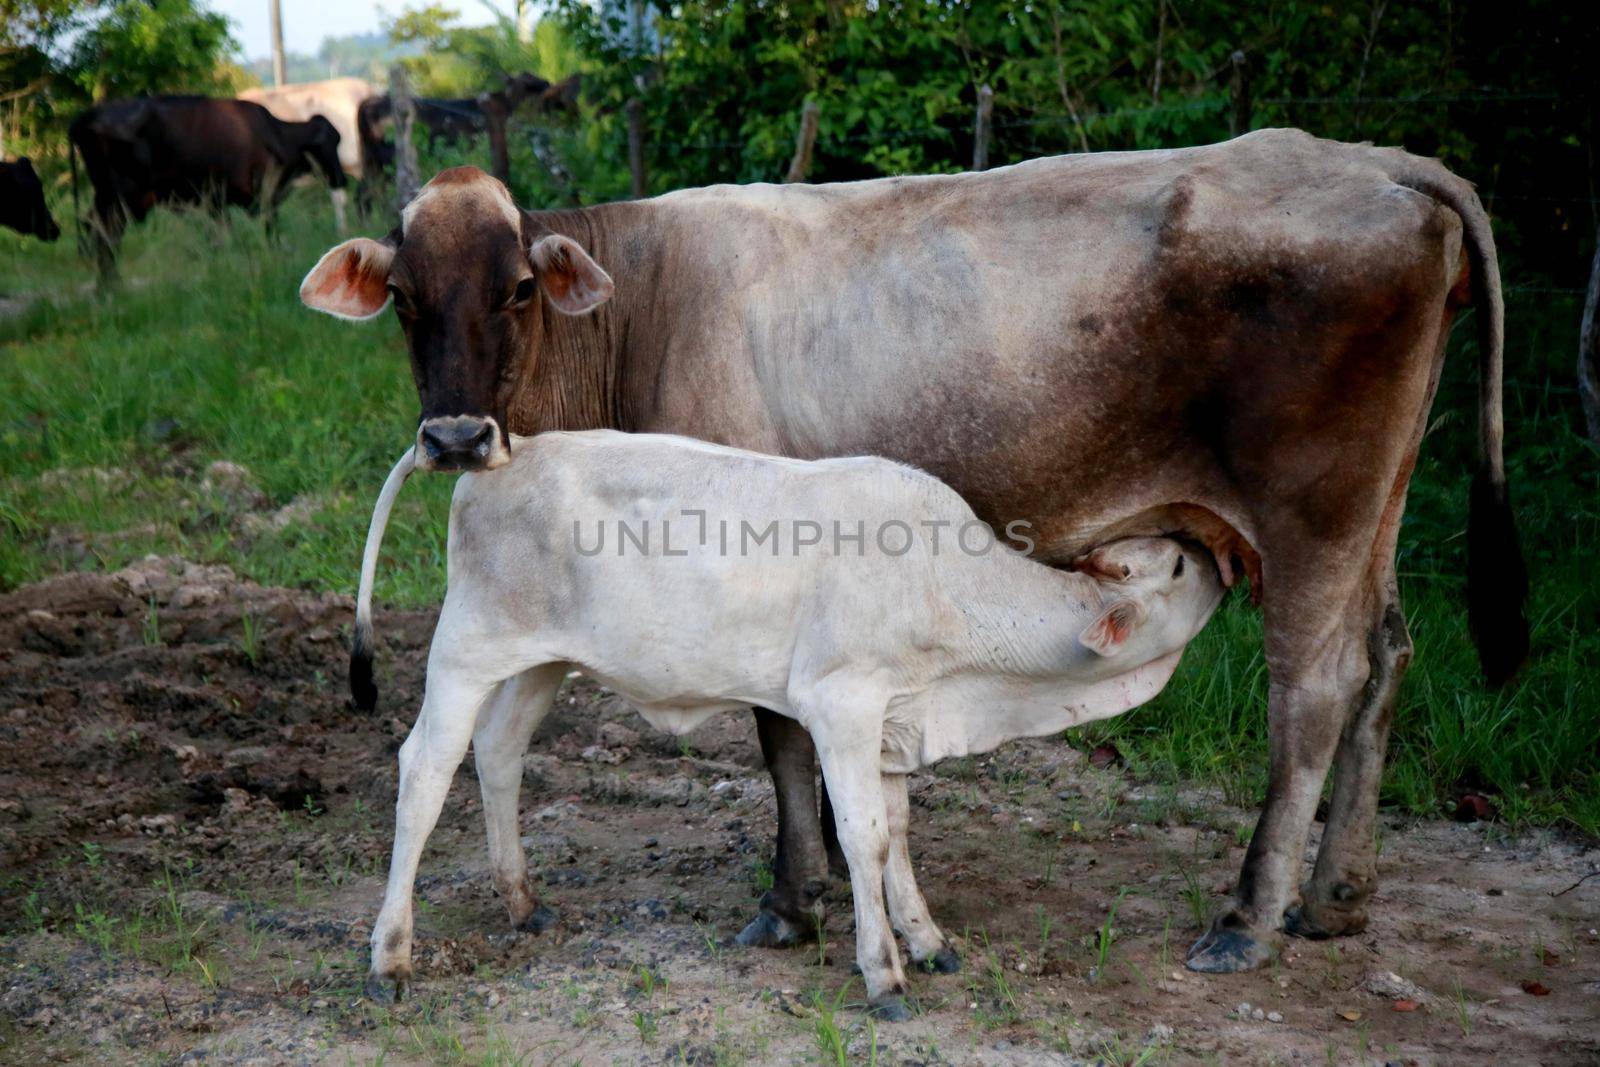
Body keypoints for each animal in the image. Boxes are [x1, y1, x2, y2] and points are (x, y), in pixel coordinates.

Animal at [71, 95, 344, 279]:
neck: (275, 134)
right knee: (107, 234)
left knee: (94, 228)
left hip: (106, 197)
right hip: (120, 198)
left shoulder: (216, 203)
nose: (342, 179)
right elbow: (268, 232)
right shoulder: (262, 199)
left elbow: (220, 238)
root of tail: (87, 116)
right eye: (331, 143)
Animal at [360, 428, 1222, 1017]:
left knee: (498, 751)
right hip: (466, 647)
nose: (1221, 559)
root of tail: (511, 449)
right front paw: (883, 973)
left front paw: (928, 940)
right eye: (1179, 566)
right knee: (425, 768)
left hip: (539, 661)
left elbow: (897, 833)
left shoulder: (892, 721)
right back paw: (391, 957)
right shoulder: (843, 703)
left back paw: (522, 901)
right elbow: (864, 838)